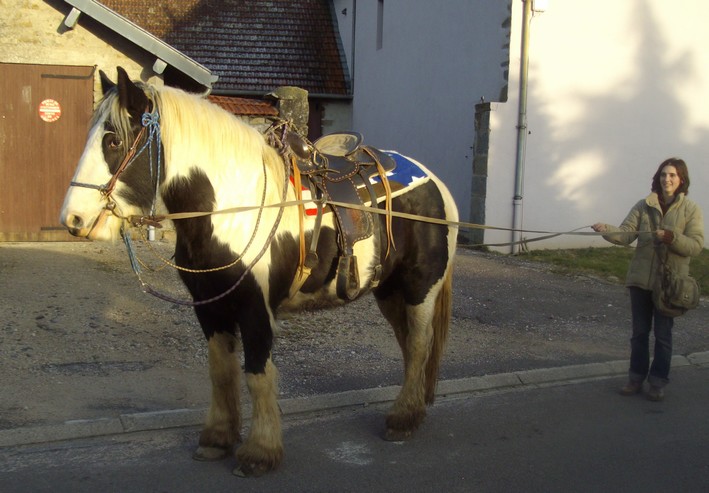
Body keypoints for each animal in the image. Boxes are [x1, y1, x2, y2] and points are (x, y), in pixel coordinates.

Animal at [60, 67, 460, 474]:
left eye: (112, 140)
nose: (73, 219)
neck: (232, 208)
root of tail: (436, 183)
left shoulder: (255, 308)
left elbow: (257, 374)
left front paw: (260, 451)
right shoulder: (209, 307)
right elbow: (221, 371)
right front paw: (217, 439)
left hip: (419, 287)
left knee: (419, 343)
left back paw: (403, 419)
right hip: (388, 291)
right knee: (410, 346)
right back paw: (410, 410)